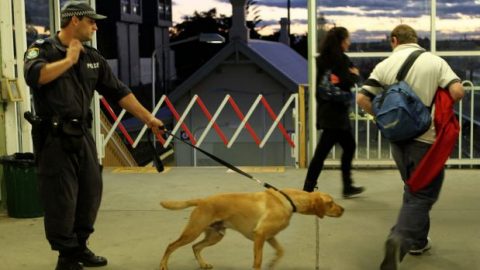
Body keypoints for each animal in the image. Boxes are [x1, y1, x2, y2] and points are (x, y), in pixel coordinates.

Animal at [159, 188, 344, 270]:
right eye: (331, 203)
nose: (342, 210)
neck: (289, 200)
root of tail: (202, 200)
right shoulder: (260, 235)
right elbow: (257, 261)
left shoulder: (270, 237)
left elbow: (280, 251)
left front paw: (272, 263)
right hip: (193, 231)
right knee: (170, 246)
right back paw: (163, 266)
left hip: (215, 235)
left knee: (196, 247)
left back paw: (203, 264)